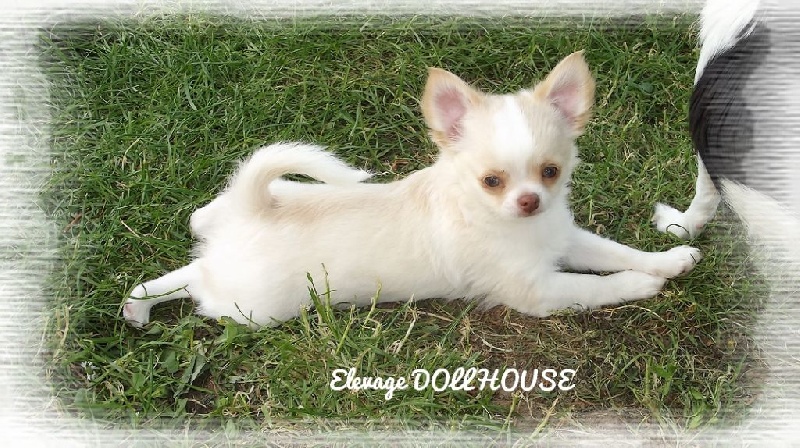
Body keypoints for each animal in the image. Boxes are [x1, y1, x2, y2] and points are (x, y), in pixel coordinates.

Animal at [123, 51, 701, 328]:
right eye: (492, 182)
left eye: (551, 173)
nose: (530, 201)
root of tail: (250, 209)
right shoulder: (536, 291)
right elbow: (595, 286)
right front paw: (640, 284)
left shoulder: (565, 237)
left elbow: (612, 250)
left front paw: (668, 259)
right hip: (251, 306)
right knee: (198, 280)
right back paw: (144, 302)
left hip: (245, 221)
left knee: (198, 231)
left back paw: (138, 303)